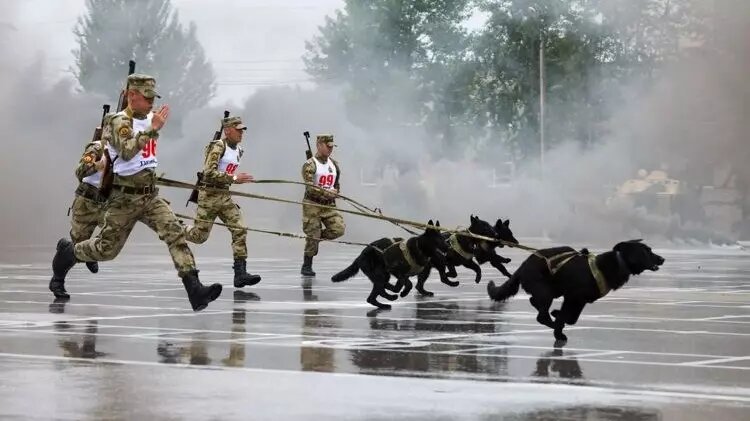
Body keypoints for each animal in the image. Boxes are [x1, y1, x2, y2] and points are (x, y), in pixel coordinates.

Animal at [490, 240, 668, 342]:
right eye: (647, 251)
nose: (662, 259)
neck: (618, 262)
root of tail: (523, 265)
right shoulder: (572, 297)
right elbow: (564, 317)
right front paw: (558, 332)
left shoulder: (580, 301)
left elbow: (572, 319)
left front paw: (557, 317)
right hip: (546, 291)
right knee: (541, 315)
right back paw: (552, 322)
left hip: (552, 290)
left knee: (535, 303)